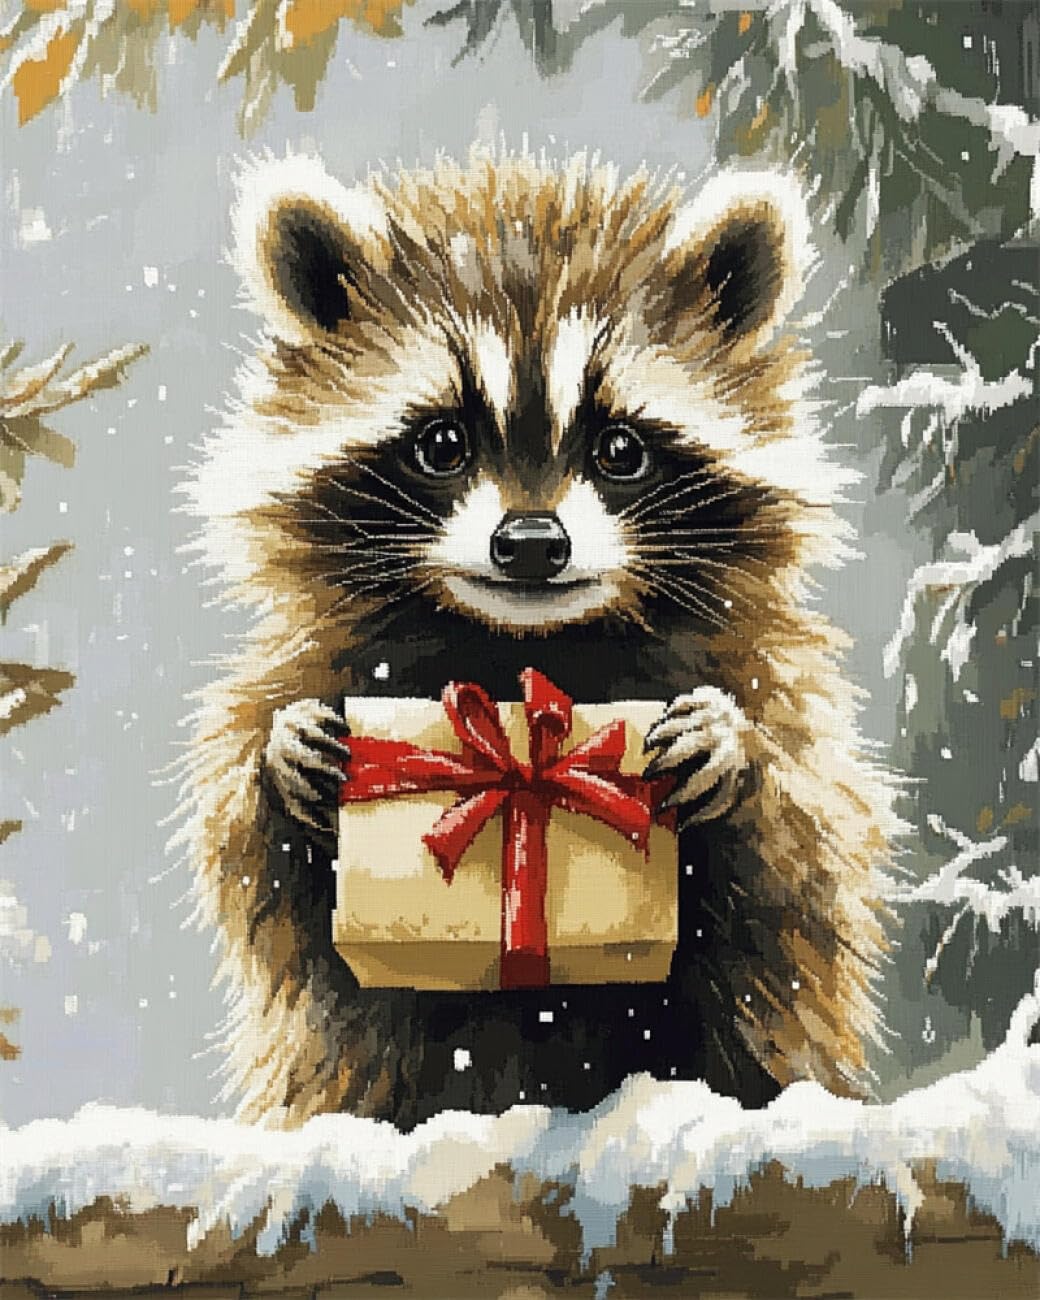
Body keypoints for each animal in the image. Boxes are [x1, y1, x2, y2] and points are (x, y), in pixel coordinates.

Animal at [177, 150, 902, 1128]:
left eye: (620, 449)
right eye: (442, 442)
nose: (529, 543)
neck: (529, 646)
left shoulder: (770, 669)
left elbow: (813, 862)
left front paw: (736, 753)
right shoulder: (312, 656)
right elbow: (257, 871)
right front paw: (283, 759)